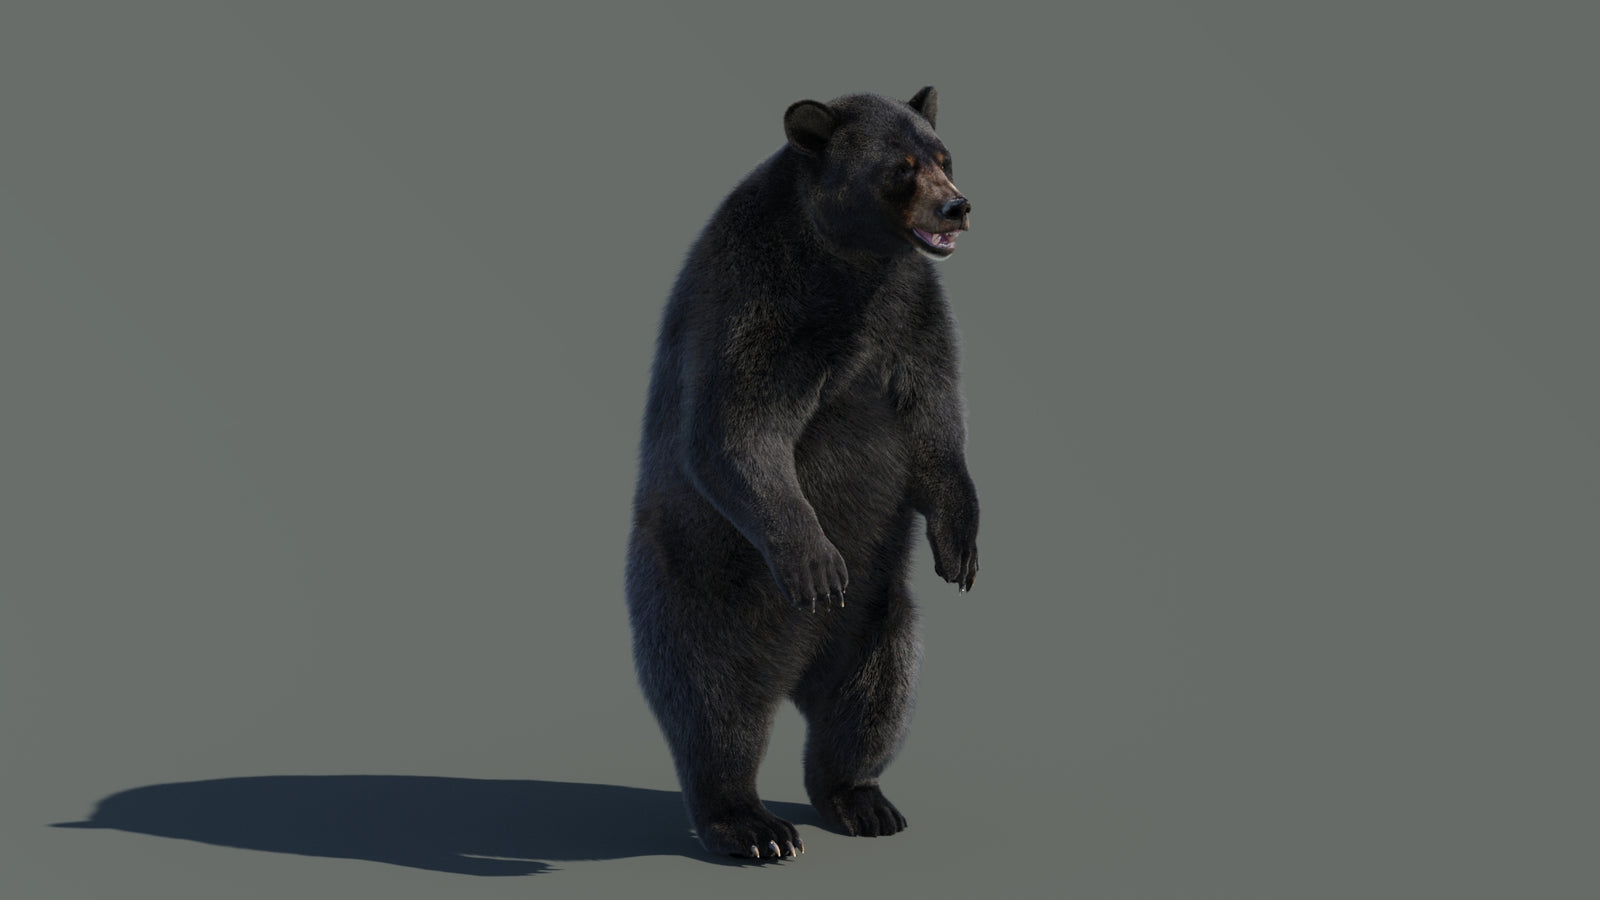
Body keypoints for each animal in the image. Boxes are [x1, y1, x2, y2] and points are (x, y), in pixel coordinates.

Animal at [625, 86, 980, 860]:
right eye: (901, 167)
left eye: (945, 156)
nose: (957, 207)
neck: (850, 261)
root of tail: (795, 672)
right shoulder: (762, 299)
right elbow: (735, 428)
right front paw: (817, 561)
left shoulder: (911, 312)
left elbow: (936, 418)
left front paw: (961, 547)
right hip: (701, 592)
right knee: (715, 706)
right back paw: (752, 825)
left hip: (881, 617)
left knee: (875, 697)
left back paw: (863, 800)